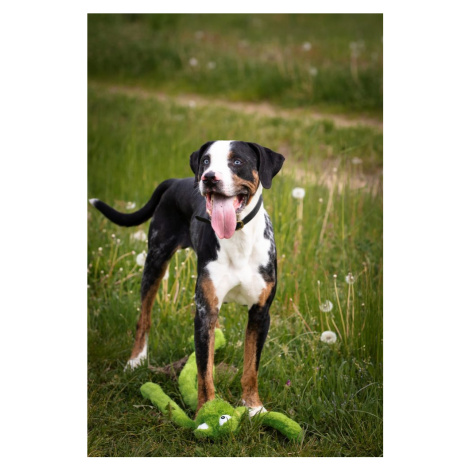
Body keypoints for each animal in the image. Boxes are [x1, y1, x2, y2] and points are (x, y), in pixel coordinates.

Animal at [90, 140, 285, 414]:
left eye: (237, 161)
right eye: (206, 160)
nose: (209, 177)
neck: (238, 238)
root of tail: (175, 181)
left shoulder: (260, 312)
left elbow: (251, 367)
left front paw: (254, 407)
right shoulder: (205, 311)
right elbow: (204, 372)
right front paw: (206, 412)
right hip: (155, 260)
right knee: (144, 316)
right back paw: (135, 360)